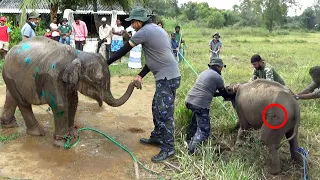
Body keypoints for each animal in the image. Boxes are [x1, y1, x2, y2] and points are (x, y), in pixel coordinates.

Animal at [0, 36, 140, 148]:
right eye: (99, 82)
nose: (136, 83)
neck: (78, 54)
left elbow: (73, 102)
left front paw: (73, 135)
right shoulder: (52, 77)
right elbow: (60, 104)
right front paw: (62, 144)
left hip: (11, 78)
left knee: (12, 97)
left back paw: (9, 125)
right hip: (9, 74)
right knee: (23, 103)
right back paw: (38, 133)